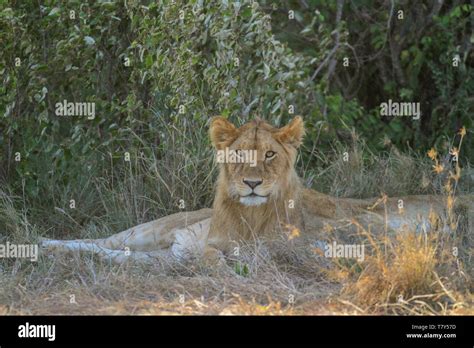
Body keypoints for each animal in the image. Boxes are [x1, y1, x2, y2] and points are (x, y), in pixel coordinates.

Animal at [41, 117, 474, 264]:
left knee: (113, 253)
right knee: (100, 241)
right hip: (150, 230)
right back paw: (39, 245)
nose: (251, 182)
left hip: (159, 250)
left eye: (269, 154)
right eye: (240, 155)